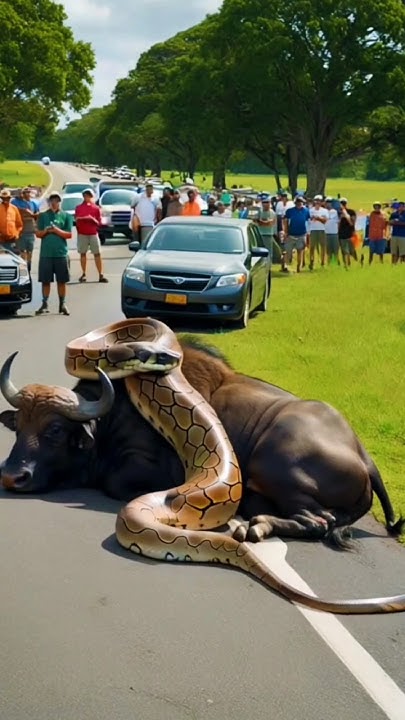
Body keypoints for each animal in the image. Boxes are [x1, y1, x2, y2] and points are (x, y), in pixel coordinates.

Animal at [0, 337, 403, 546]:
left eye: (54, 430)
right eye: (18, 425)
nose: (12, 476)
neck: (112, 414)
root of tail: (365, 458)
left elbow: (114, 481)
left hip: (273, 463)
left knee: (317, 520)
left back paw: (255, 525)